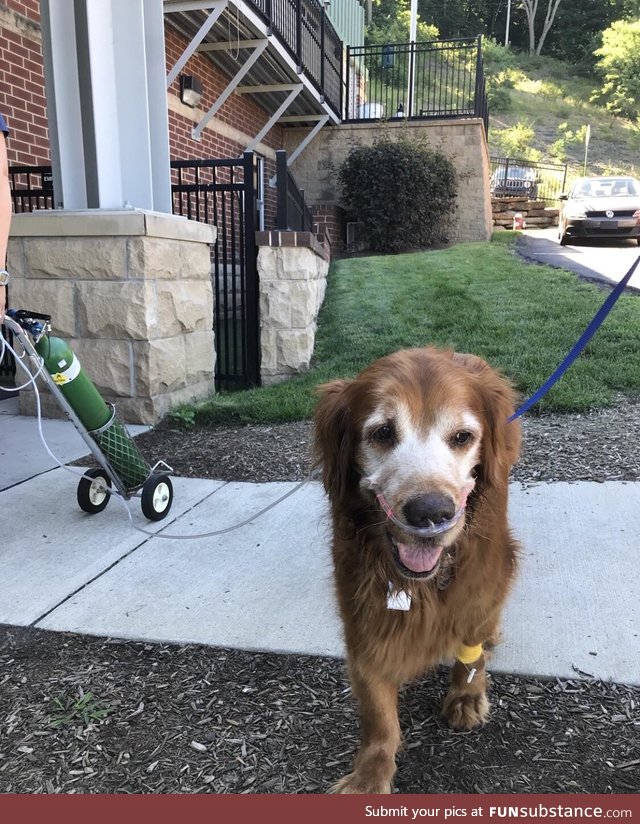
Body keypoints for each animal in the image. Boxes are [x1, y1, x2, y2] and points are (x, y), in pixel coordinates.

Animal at [314, 346, 520, 792]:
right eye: (382, 433)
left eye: (462, 437)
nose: (431, 513)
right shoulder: (363, 614)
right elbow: (377, 710)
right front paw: (370, 774)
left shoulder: (481, 584)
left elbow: (471, 649)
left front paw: (466, 695)